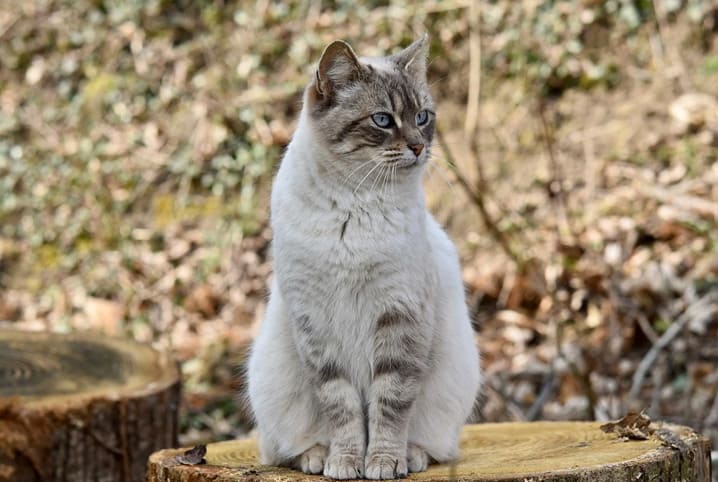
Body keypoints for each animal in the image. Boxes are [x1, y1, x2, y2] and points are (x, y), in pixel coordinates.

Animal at [249, 35, 484, 480]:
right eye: (382, 120)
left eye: (422, 116)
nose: (419, 147)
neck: (354, 204)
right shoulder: (316, 325)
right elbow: (341, 408)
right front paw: (344, 462)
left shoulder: (399, 314)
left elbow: (389, 405)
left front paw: (383, 462)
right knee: (281, 450)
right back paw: (316, 457)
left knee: (435, 445)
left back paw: (411, 456)